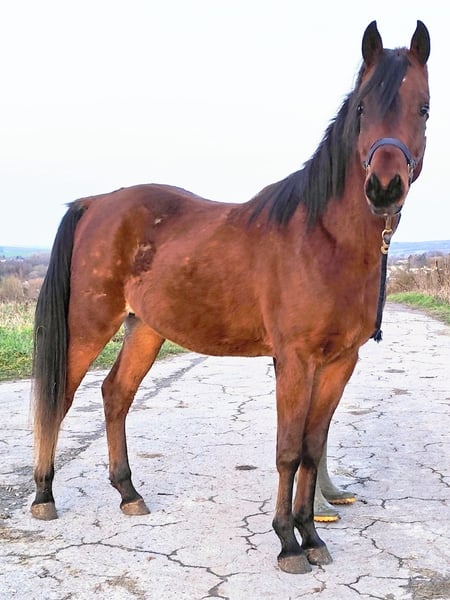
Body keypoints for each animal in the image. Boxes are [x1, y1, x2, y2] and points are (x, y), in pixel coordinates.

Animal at [31, 20, 430, 574]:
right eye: (363, 108)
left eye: (424, 108)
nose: (385, 186)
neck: (326, 240)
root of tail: (95, 204)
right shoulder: (295, 360)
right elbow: (288, 451)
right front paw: (287, 543)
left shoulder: (339, 363)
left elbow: (312, 449)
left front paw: (313, 535)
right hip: (89, 325)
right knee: (60, 398)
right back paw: (44, 496)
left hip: (145, 329)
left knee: (115, 394)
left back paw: (129, 493)